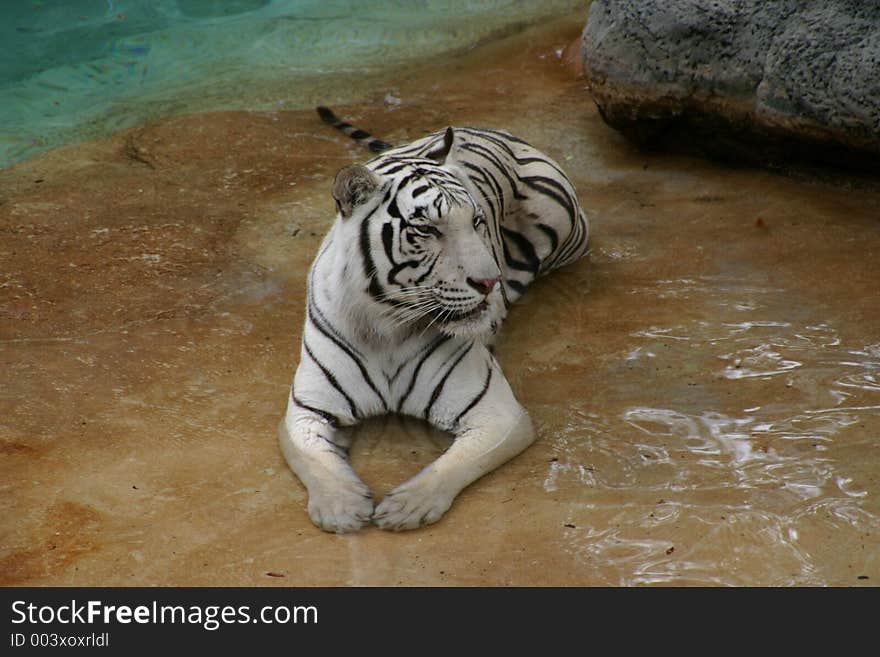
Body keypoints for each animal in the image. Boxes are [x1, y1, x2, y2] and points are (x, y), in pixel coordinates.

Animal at [278, 105, 588, 532]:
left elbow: (451, 465)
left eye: (476, 221)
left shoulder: (496, 412)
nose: (490, 282)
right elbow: (315, 461)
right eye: (427, 229)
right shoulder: (307, 410)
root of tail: (490, 129)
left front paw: (407, 507)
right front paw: (341, 508)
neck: (385, 328)